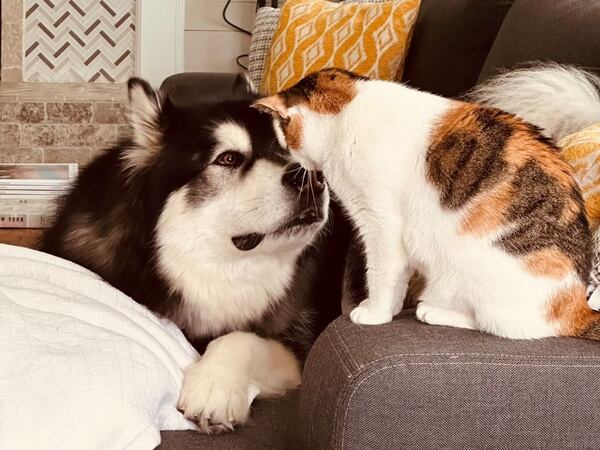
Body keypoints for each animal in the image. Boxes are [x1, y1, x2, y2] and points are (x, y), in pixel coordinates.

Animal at [43, 76, 356, 432]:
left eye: (291, 150)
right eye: (228, 159)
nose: (314, 178)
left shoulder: (298, 347)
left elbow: (239, 336)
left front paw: (214, 386)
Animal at [253, 68, 600, 340]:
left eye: (283, 137)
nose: (293, 162)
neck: (347, 113)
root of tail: (578, 306)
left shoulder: (380, 224)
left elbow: (381, 273)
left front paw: (375, 313)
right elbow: (396, 279)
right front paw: (390, 310)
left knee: (501, 325)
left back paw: (433, 311)